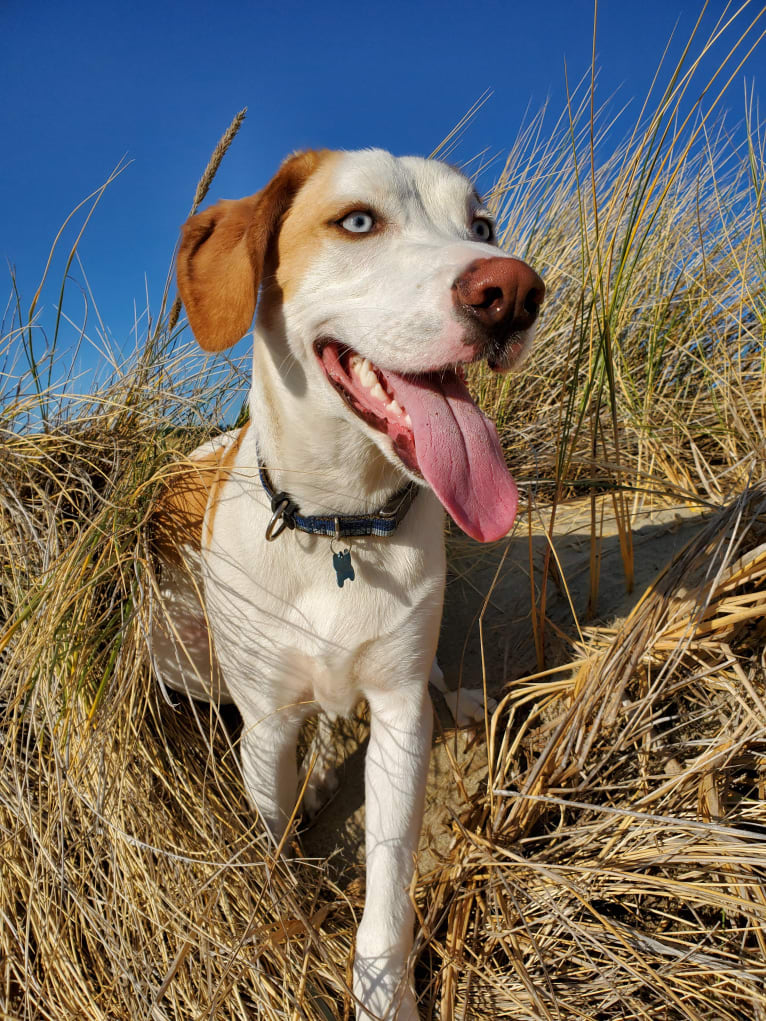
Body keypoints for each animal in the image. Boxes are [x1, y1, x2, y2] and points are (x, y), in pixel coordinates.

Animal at [151, 149, 547, 1021]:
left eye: (482, 226)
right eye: (358, 221)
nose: (513, 291)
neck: (340, 524)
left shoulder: (397, 718)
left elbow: (388, 889)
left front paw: (383, 994)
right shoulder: (265, 728)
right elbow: (276, 838)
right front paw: (286, 913)